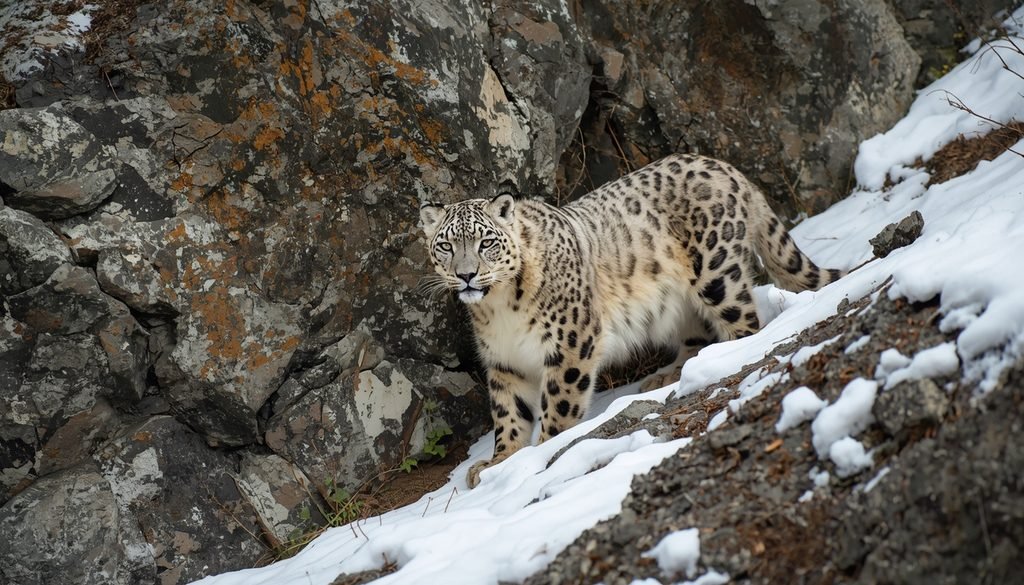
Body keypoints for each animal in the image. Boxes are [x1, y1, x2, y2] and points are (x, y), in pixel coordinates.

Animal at [419, 153, 843, 488]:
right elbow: (508, 415)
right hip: (678, 302)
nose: (466, 275)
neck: (500, 307)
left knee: (745, 322)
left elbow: (559, 404)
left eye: (486, 242)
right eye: (446, 245)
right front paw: (499, 462)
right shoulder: (504, 362)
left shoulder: (571, 342)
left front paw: (542, 450)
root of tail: (724, 166)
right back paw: (669, 374)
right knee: (695, 334)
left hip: (717, 274)